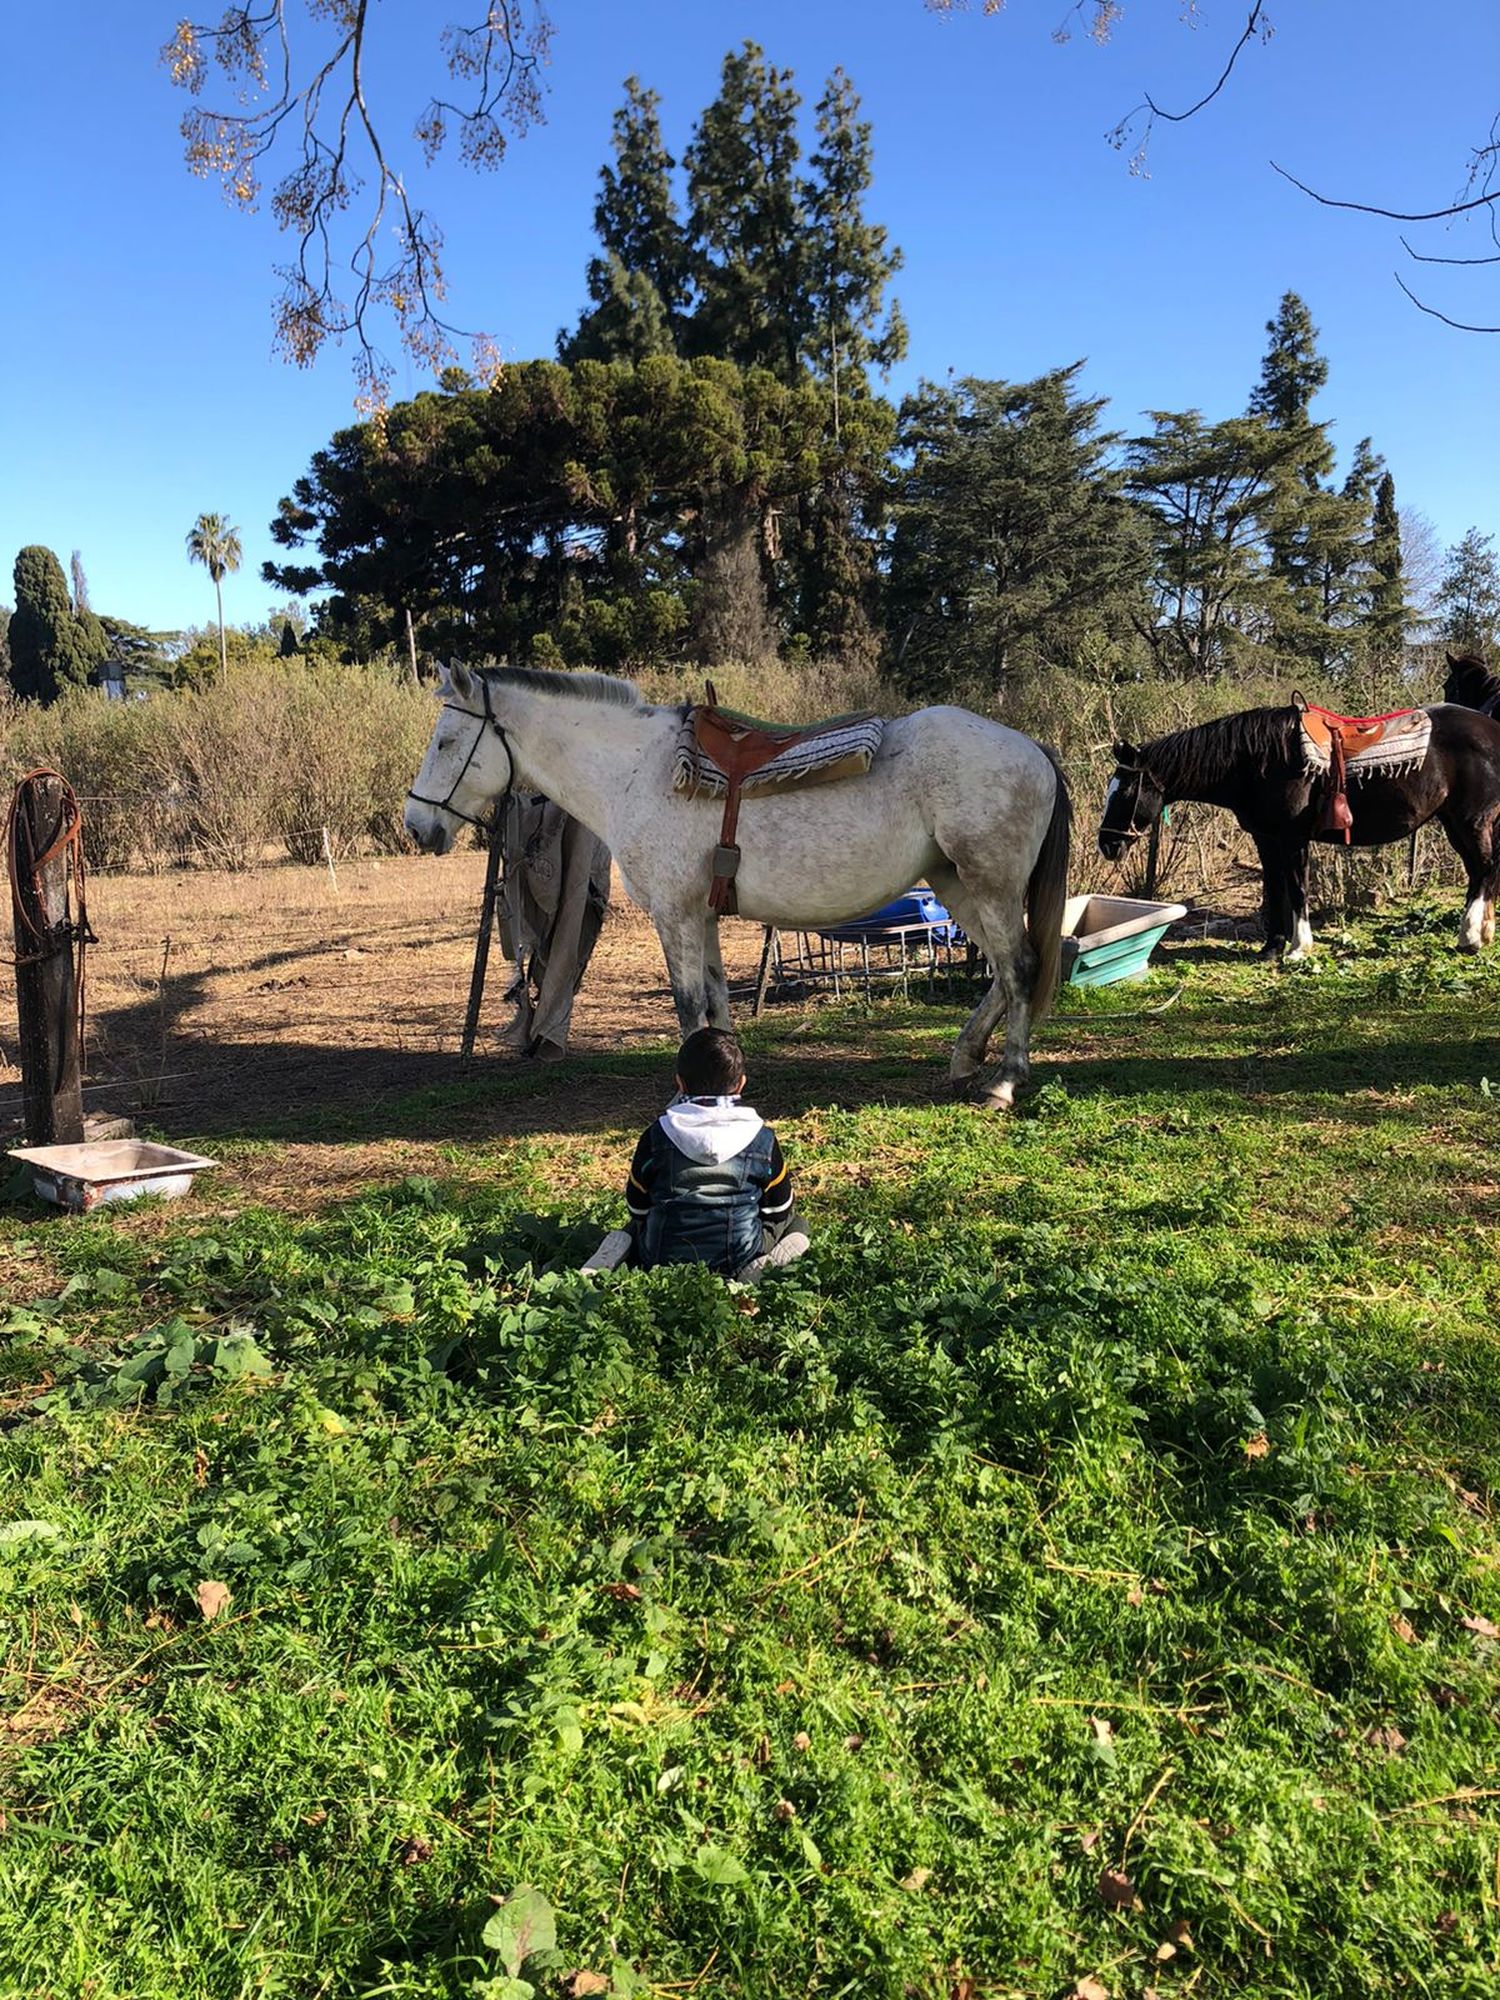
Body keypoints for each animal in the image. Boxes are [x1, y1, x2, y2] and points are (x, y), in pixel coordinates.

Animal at [406, 672, 1072, 1112]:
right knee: (1001, 971)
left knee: (1019, 967)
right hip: (957, 883)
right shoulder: (700, 917)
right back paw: (965, 1061)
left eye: (445, 742)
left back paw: (1005, 1081)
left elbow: (688, 1004)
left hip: (989, 885)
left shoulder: (673, 914)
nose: (418, 826)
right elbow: (717, 1002)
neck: (634, 772)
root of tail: (1033, 748)